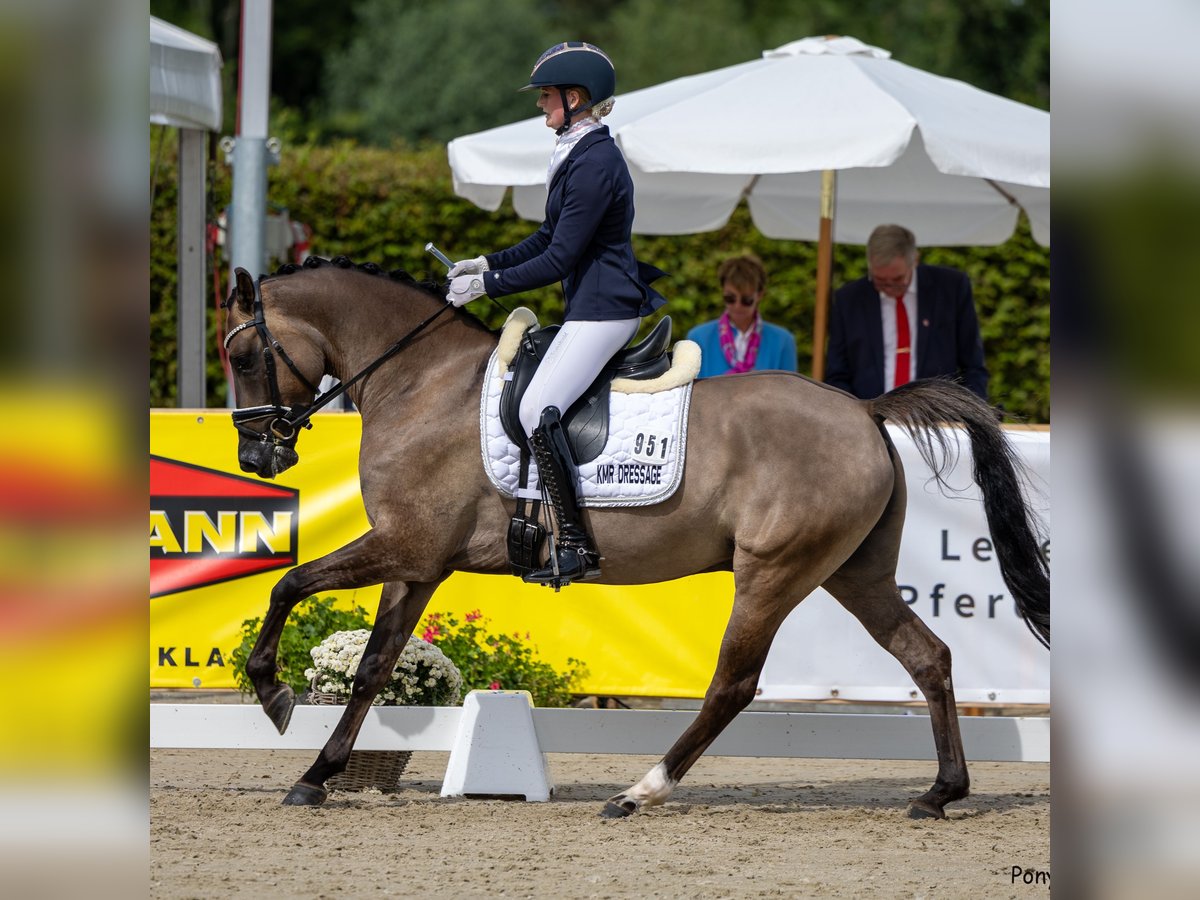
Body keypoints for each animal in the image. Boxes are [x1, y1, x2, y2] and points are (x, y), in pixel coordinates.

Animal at [220, 255, 1046, 825]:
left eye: (242, 356)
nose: (257, 458)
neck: (422, 383)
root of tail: (865, 410)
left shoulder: (404, 546)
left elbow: (288, 584)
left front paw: (273, 693)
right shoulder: (417, 561)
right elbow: (371, 666)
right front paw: (316, 776)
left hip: (774, 572)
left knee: (734, 683)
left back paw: (638, 791)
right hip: (856, 573)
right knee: (927, 656)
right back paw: (940, 793)